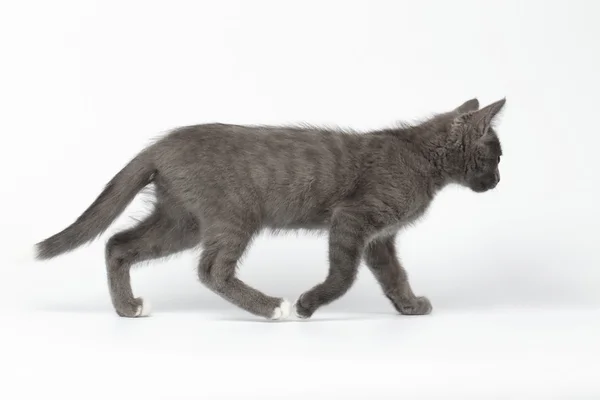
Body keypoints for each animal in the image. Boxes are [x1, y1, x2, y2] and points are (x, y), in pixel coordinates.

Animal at [34, 98, 506, 320]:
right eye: (497, 156)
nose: (500, 181)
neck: (419, 155)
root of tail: (160, 146)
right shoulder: (352, 219)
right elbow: (343, 275)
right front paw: (308, 305)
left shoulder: (380, 238)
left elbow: (394, 275)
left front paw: (409, 306)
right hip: (234, 214)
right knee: (211, 270)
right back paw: (271, 308)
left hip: (181, 219)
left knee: (118, 243)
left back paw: (127, 308)